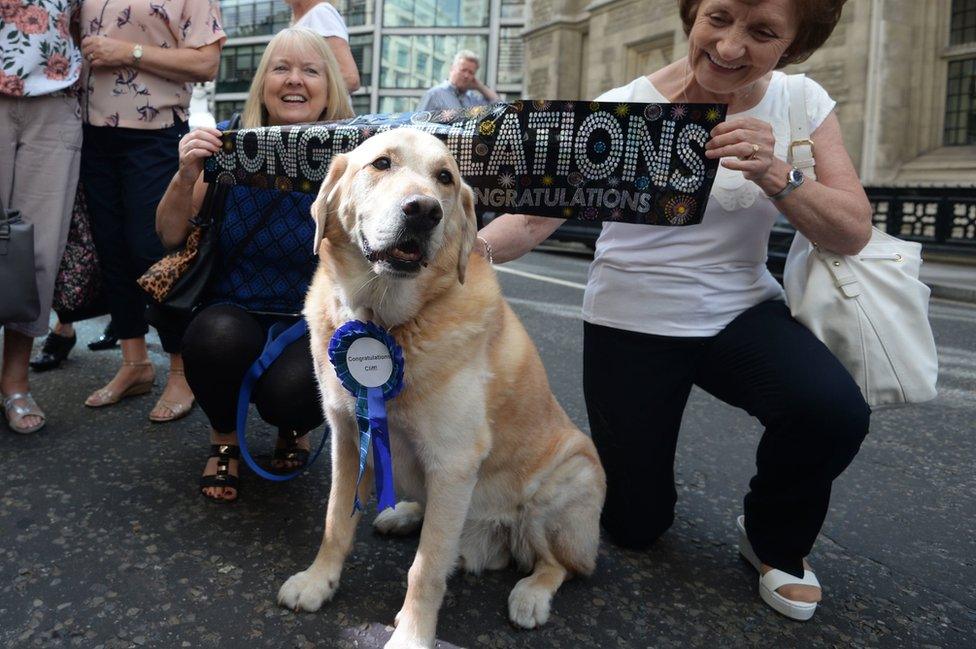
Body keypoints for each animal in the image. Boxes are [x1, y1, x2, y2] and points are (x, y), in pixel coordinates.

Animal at [274, 129, 608, 644]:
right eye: (382, 163)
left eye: (445, 177)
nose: (423, 210)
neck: (383, 321)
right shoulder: (349, 438)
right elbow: (335, 521)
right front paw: (318, 581)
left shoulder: (453, 461)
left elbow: (426, 567)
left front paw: (412, 636)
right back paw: (404, 513)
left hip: (564, 481)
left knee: (560, 565)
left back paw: (530, 595)